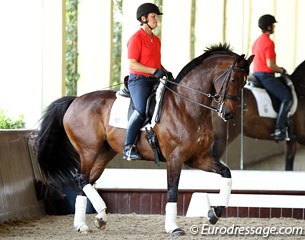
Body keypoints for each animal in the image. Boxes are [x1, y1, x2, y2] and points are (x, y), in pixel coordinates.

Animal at [36, 44, 252, 237]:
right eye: (233, 79)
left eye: (244, 82)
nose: (229, 113)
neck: (187, 105)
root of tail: (75, 100)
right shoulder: (175, 158)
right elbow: (172, 191)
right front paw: (173, 228)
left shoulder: (199, 158)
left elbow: (226, 174)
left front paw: (214, 214)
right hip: (89, 150)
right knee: (80, 177)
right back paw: (99, 213)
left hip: (104, 153)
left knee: (86, 180)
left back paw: (87, 222)